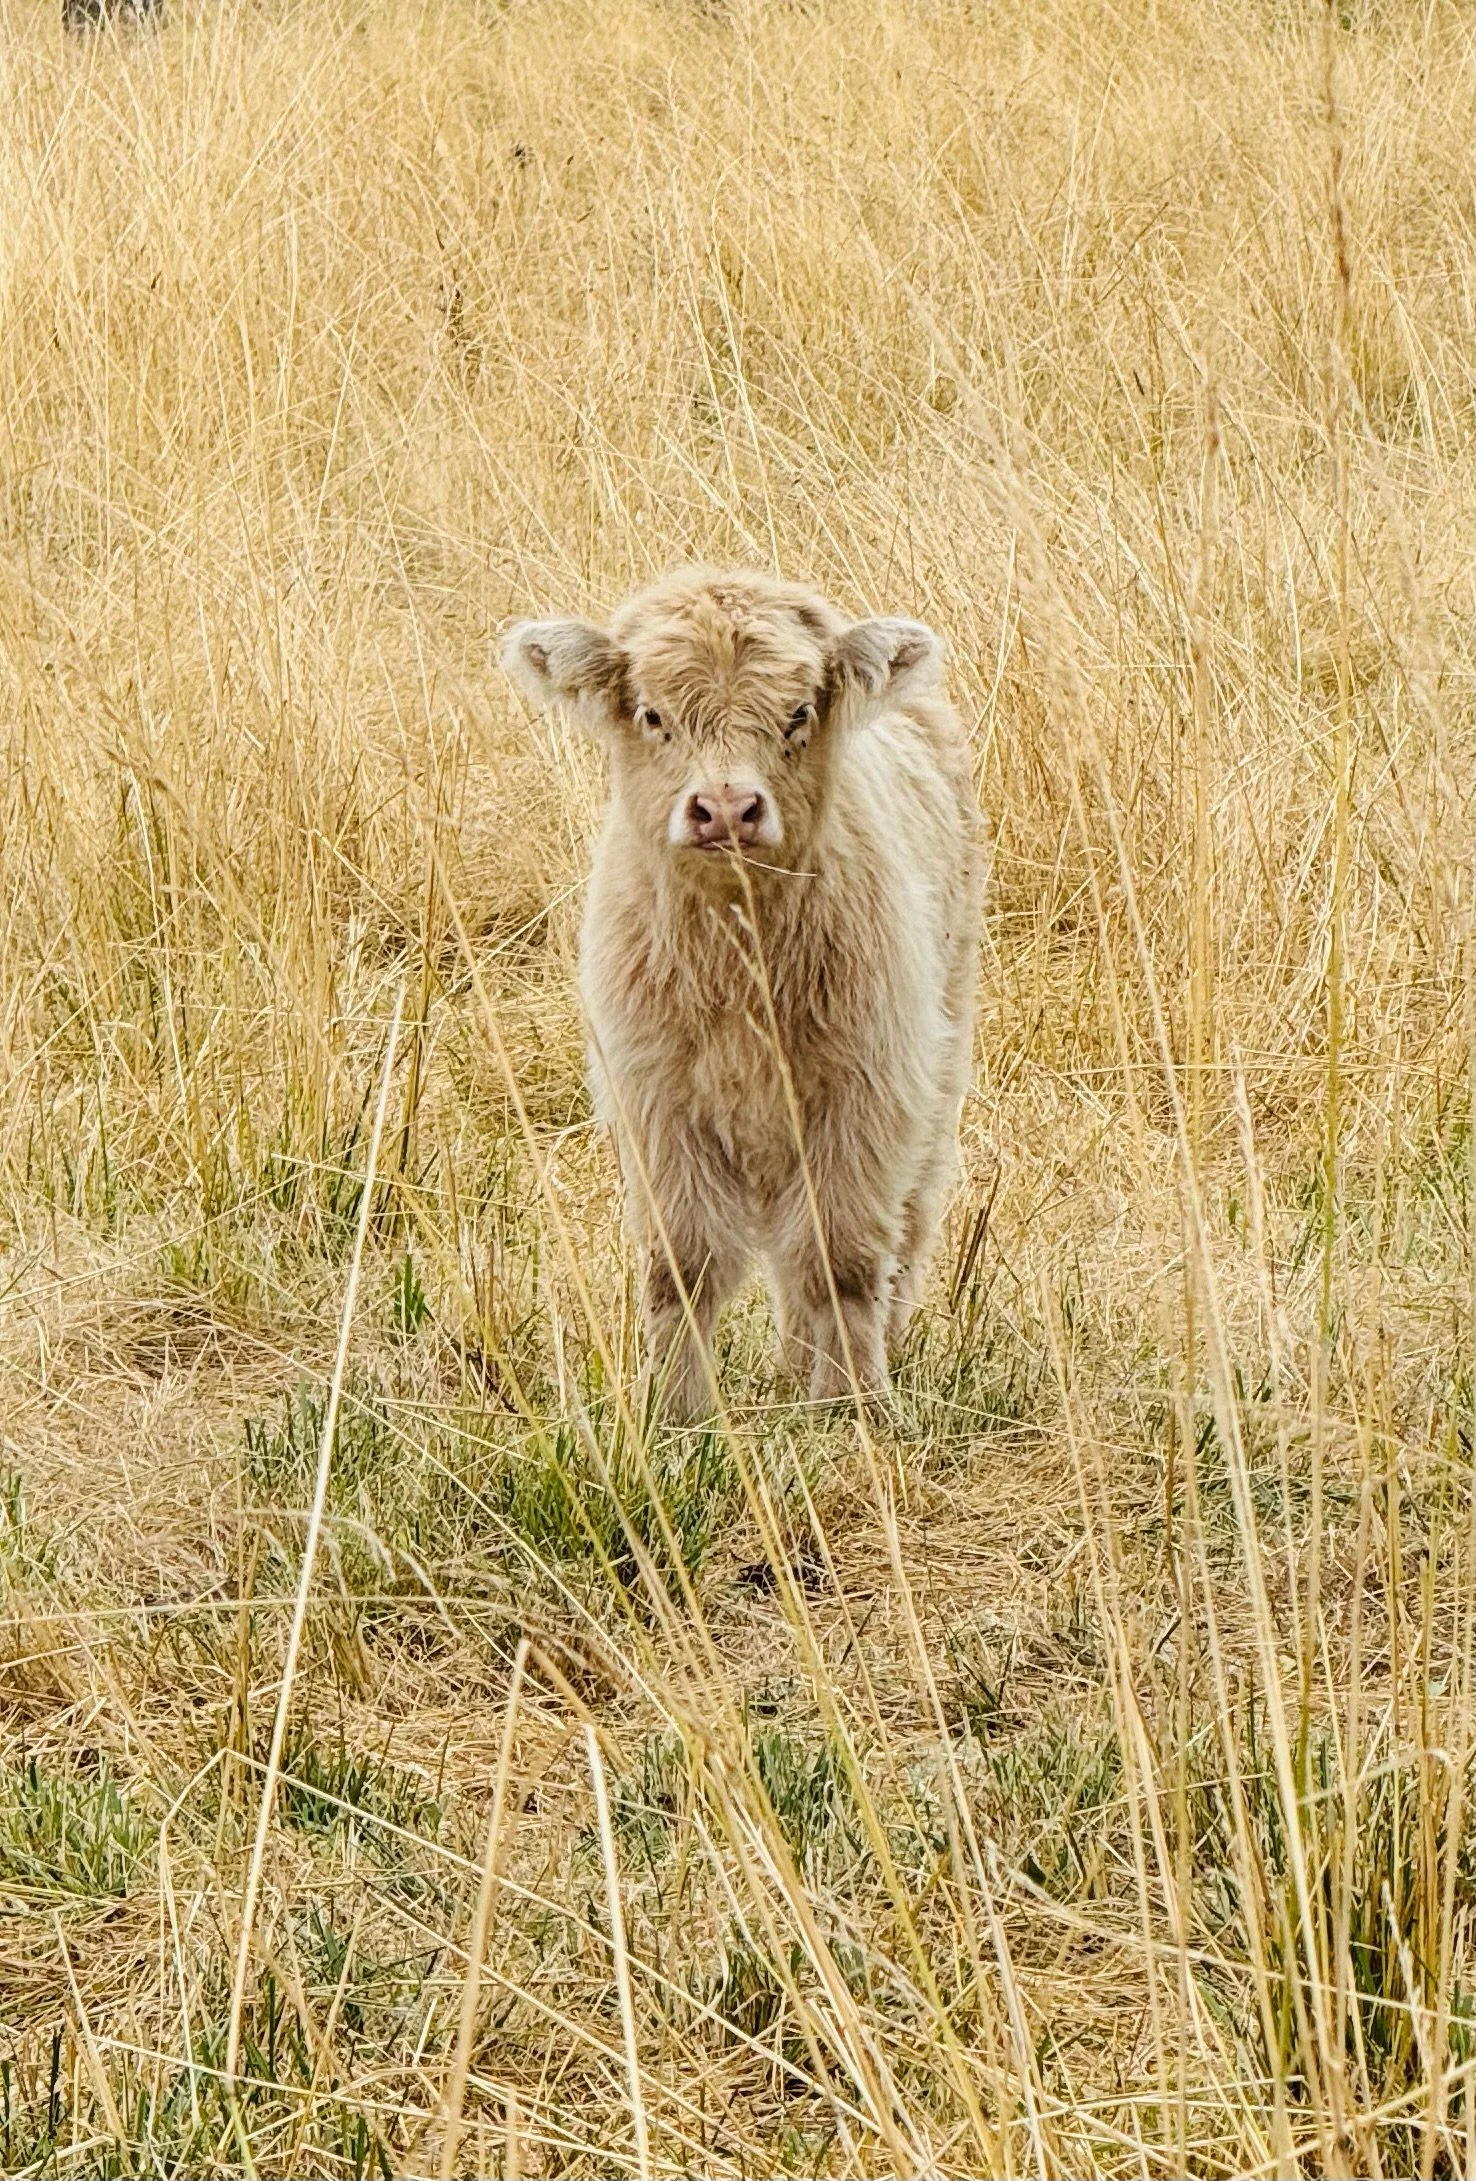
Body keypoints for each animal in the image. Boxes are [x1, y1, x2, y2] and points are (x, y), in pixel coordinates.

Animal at [501, 567, 984, 1418]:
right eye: (653, 713)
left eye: (798, 713)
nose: (726, 807)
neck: (740, 963)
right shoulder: (655, 1102)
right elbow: (683, 1265)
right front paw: (676, 1410)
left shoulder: (867, 1091)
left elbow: (843, 1257)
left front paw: (853, 1403)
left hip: (940, 1059)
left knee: (900, 1226)